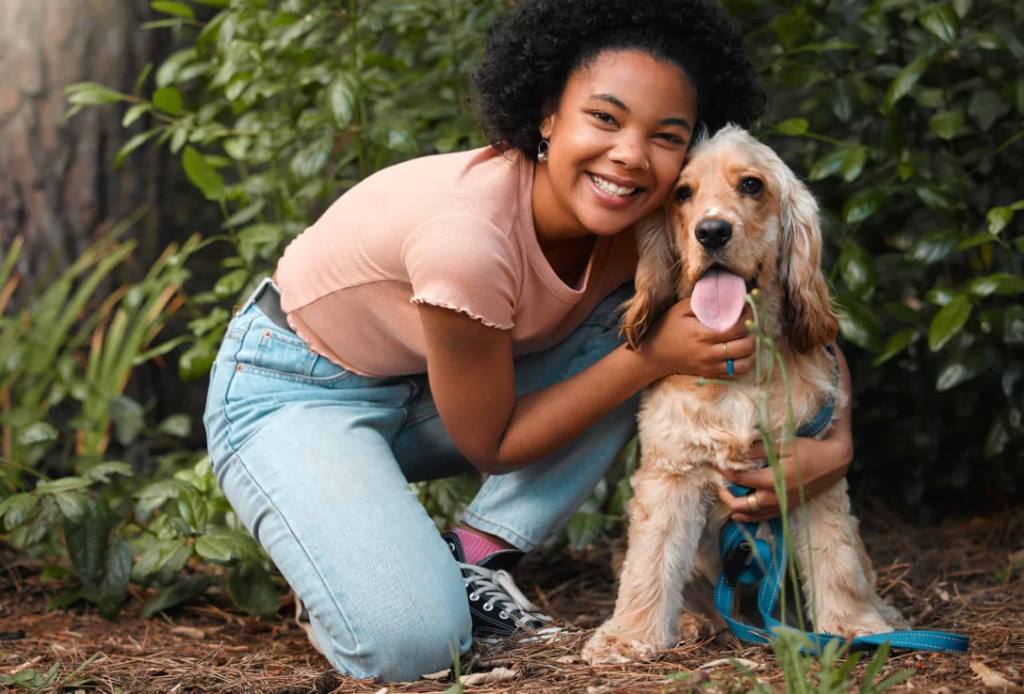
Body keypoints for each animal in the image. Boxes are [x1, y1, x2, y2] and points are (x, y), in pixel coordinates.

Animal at [581, 126, 909, 667]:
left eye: (752, 185)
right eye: (682, 193)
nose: (712, 232)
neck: (740, 372)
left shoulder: (813, 472)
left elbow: (836, 558)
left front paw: (855, 627)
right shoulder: (670, 472)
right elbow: (651, 561)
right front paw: (629, 636)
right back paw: (692, 622)